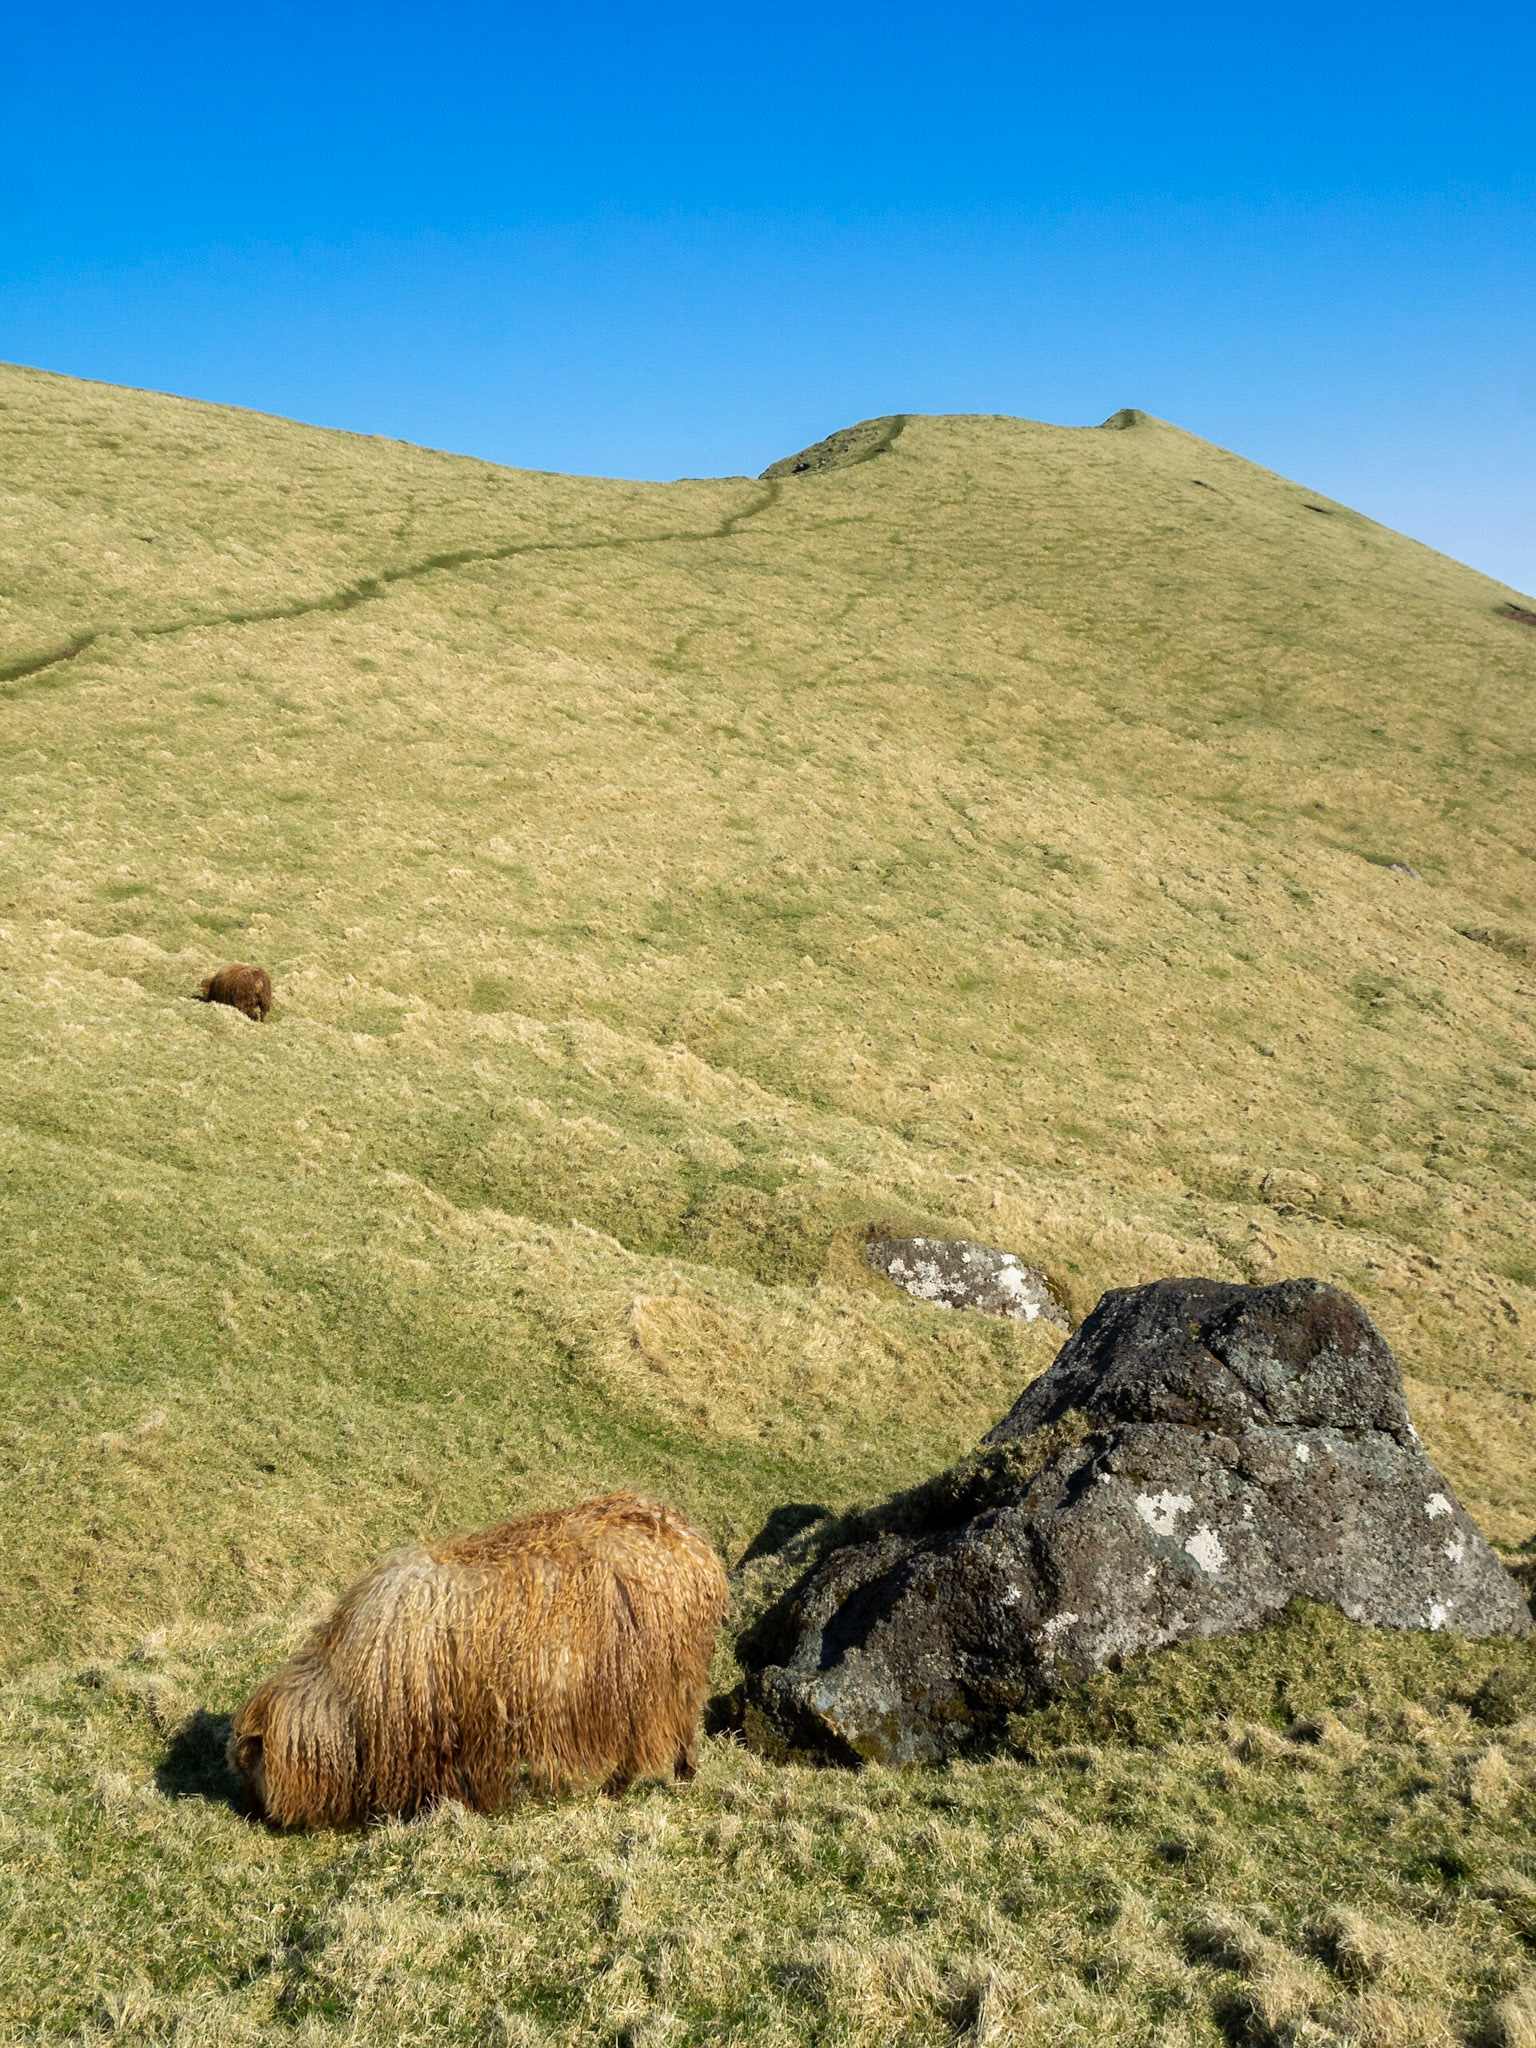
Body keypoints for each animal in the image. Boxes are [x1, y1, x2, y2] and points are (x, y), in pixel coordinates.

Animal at [228, 1493, 729, 1828]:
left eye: (252, 1764)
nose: (250, 1813)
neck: (348, 1696)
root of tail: (694, 1545)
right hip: (672, 1673)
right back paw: (681, 1774)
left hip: (648, 1677)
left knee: (647, 1737)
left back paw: (621, 1786)